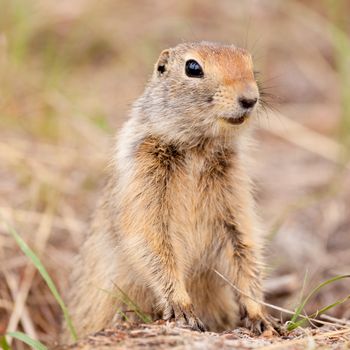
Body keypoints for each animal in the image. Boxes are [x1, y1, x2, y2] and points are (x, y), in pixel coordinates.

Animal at [61, 40, 274, 342]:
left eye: (249, 62)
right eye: (193, 67)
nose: (250, 99)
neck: (198, 149)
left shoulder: (234, 191)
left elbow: (244, 246)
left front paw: (259, 316)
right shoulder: (143, 176)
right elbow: (152, 241)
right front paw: (184, 310)